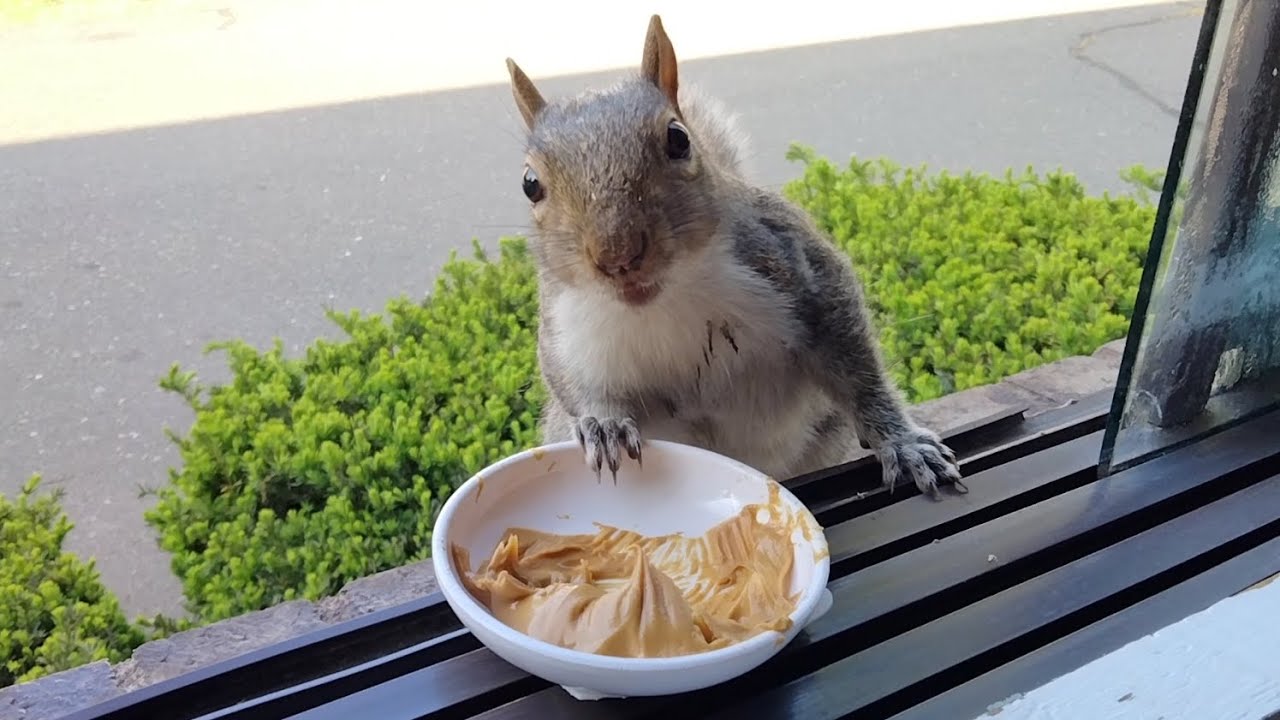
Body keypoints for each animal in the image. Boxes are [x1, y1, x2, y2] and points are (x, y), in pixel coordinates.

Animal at [503, 15, 964, 497]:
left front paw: (902, 442)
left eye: (678, 139)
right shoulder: (567, 332)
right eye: (530, 183)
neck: (663, 301)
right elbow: (575, 386)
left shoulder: (794, 263)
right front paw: (604, 426)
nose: (618, 255)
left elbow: (856, 367)